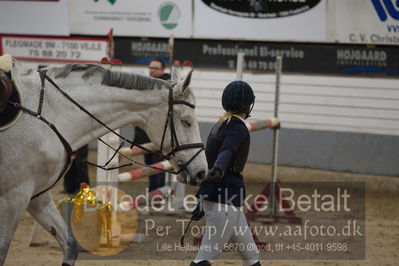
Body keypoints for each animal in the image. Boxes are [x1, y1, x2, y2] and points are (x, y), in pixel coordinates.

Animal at [0, 54, 209, 266]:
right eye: (186, 121)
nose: (202, 172)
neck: (51, 112)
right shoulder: (14, 197)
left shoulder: (36, 195)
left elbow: (70, 246)